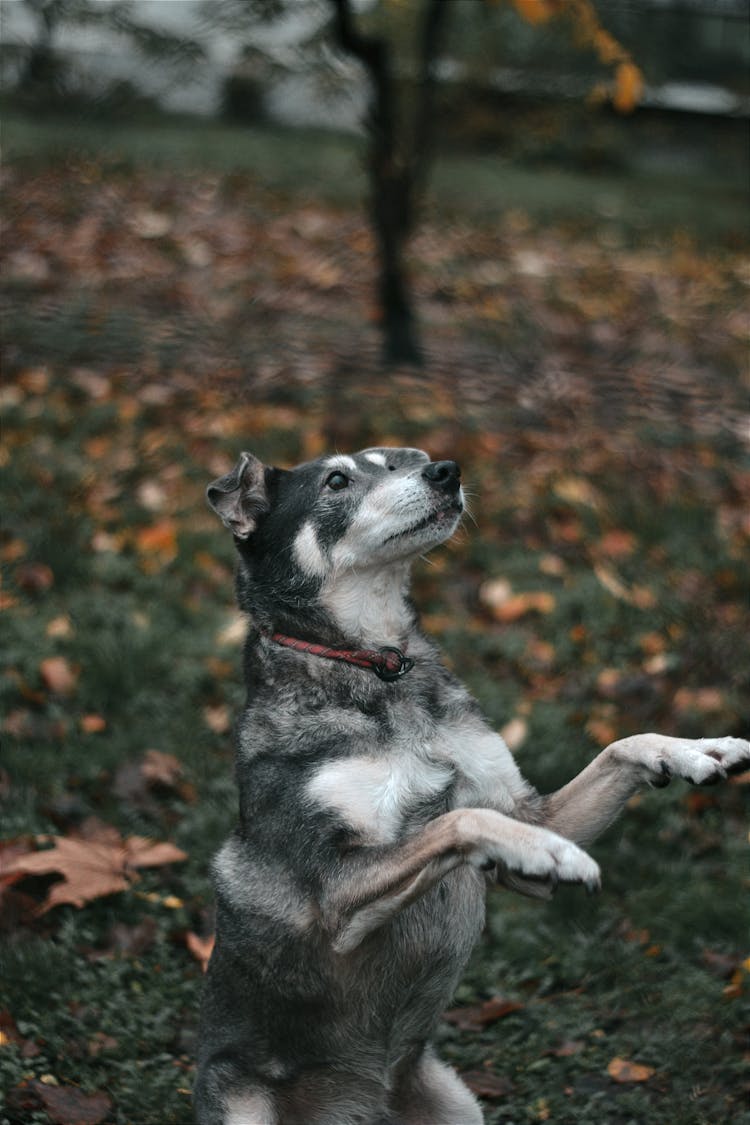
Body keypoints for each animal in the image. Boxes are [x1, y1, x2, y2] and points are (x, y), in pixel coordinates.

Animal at [195, 447, 750, 1125]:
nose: (445, 470)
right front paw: (551, 854)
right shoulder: (334, 895)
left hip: (457, 1104)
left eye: (400, 460)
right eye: (337, 480)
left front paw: (699, 751)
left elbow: (620, 747)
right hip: (239, 1100)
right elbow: (457, 820)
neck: (381, 666)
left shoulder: (526, 806)